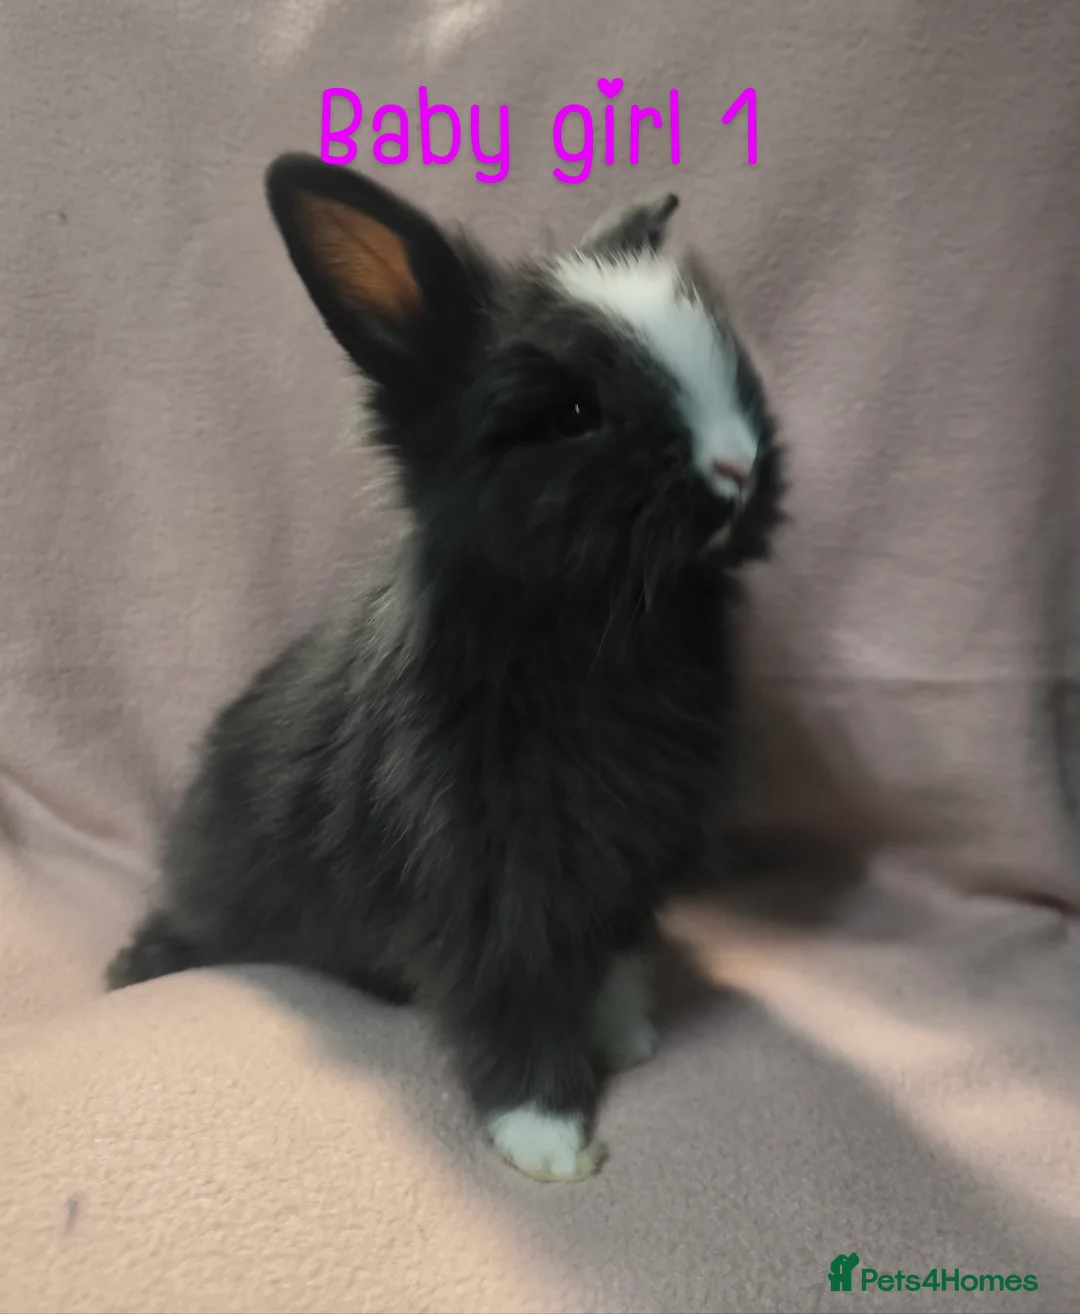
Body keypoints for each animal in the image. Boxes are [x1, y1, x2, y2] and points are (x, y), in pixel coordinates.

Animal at [106, 153, 785, 1183]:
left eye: (728, 360)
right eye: (573, 413)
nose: (737, 468)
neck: (606, 628)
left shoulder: (629, 861)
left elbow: (612, 954)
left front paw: (627, 1037)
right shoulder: (488, 878)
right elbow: (514, 991)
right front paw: (549, 1138)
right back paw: (133, 972)